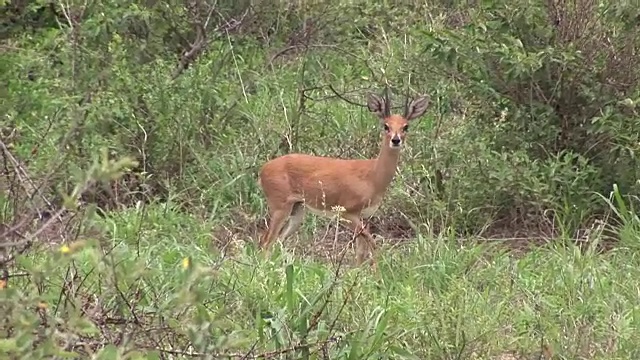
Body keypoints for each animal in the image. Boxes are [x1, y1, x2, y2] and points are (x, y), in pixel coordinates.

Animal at [256, 91, 430, 266]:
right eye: (386, 126)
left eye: (406, 126)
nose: (396, 140)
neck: (373, 177)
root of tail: (263, 169)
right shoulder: (348, 212)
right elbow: (372, 243)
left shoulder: (363, 216)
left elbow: (361, 251)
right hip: (280, 207)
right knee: (266, 240)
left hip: (297, 209)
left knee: (277, 240)